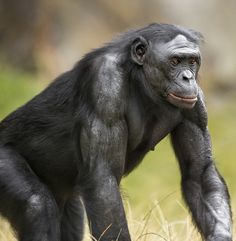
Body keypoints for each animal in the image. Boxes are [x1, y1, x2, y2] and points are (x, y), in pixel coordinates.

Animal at [0, 23, 231, 241]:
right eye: (175, 61)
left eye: (192, 61)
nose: (187, 77)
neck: (142, 80)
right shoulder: (105, 85)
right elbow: (104, 180)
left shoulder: (197, 105)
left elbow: (199, 174)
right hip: (4, 161)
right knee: (37, 205)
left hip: (68, 200)